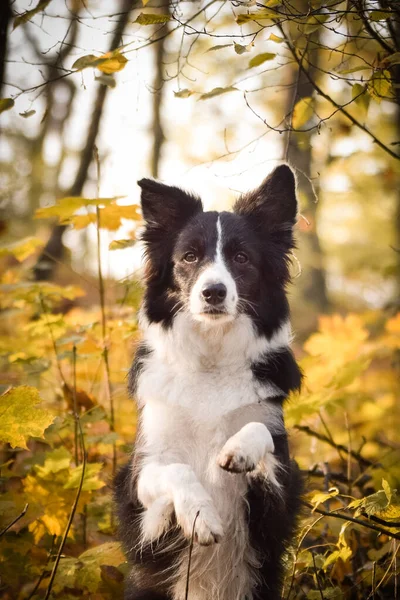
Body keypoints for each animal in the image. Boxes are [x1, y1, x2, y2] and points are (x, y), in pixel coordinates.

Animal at [115, 164, 304, 600]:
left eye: (241, 258)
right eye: (189, 256)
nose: (213, 292)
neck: (211, 360)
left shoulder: (277, 495)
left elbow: (260, 434)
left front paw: (238, 450)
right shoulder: (144, 490)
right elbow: (175, 470)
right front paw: (201, 516)